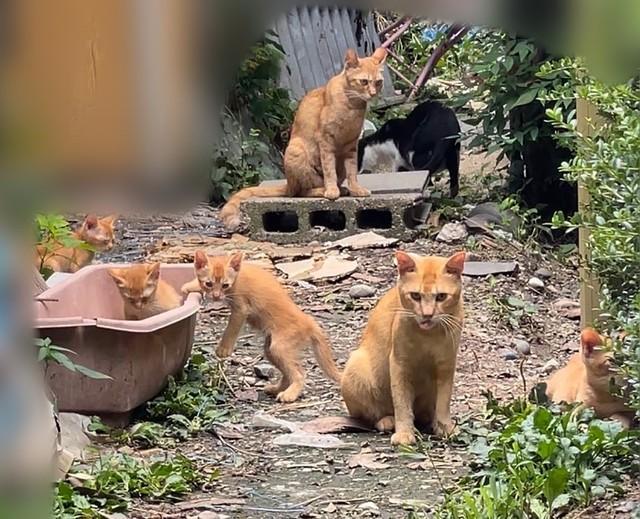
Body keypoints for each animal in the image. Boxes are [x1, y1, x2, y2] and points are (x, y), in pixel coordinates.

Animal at [181, 250, 340, 404]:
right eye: (208, 283)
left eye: (225, 285)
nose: (216, 296)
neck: (239, 276)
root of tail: (309, 321)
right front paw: (188, 287)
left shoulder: (241, 310)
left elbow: (231, 329)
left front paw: (223, 349)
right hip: (271, 350)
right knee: (289, 372)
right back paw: (276, 389)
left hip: (279, 347)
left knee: (300, 373)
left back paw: (290, 394)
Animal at [220, 47, 388, 232]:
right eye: (364, 82)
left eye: (378, 83)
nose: (373, 93)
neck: (352, 106)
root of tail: (288, 184)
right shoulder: (325, 141)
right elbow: (329, 170)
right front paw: (331, 190)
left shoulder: (351, 146)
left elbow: (352, 172)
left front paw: (356, 189)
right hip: (297, 152)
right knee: (301, 192)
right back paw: (324, 190)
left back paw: (342, 189)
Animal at [340, 250, 464, 444]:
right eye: (415, 296)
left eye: (441, 296)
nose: (427, 315)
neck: (427, 337)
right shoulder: (400, 364)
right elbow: (402, 403)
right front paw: (404, 433)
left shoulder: (446, 365)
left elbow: (443, 402)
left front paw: (445, 428)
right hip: (356, 369)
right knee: (370, 416)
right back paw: (387, 420)